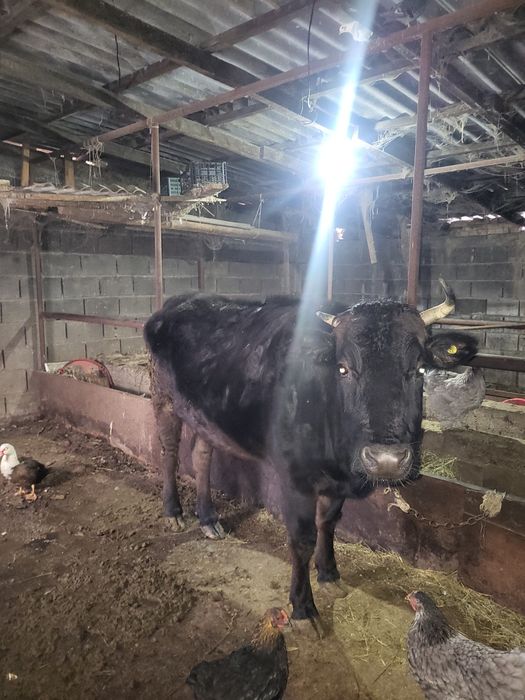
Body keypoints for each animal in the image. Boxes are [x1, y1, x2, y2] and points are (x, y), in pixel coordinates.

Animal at [144, 279, 477, 622]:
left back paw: (208, 518)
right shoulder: (295, 478)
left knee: (202, 457)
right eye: (343, 369)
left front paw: (329, 574)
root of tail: (180, 302)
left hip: (206, 415)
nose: (386, 460)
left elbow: (327, 524)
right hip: (163, 397)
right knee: (169, 453)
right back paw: (173, 512)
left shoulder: (336, 483)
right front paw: (303, 607)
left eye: (419, 369)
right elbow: (301, 539)